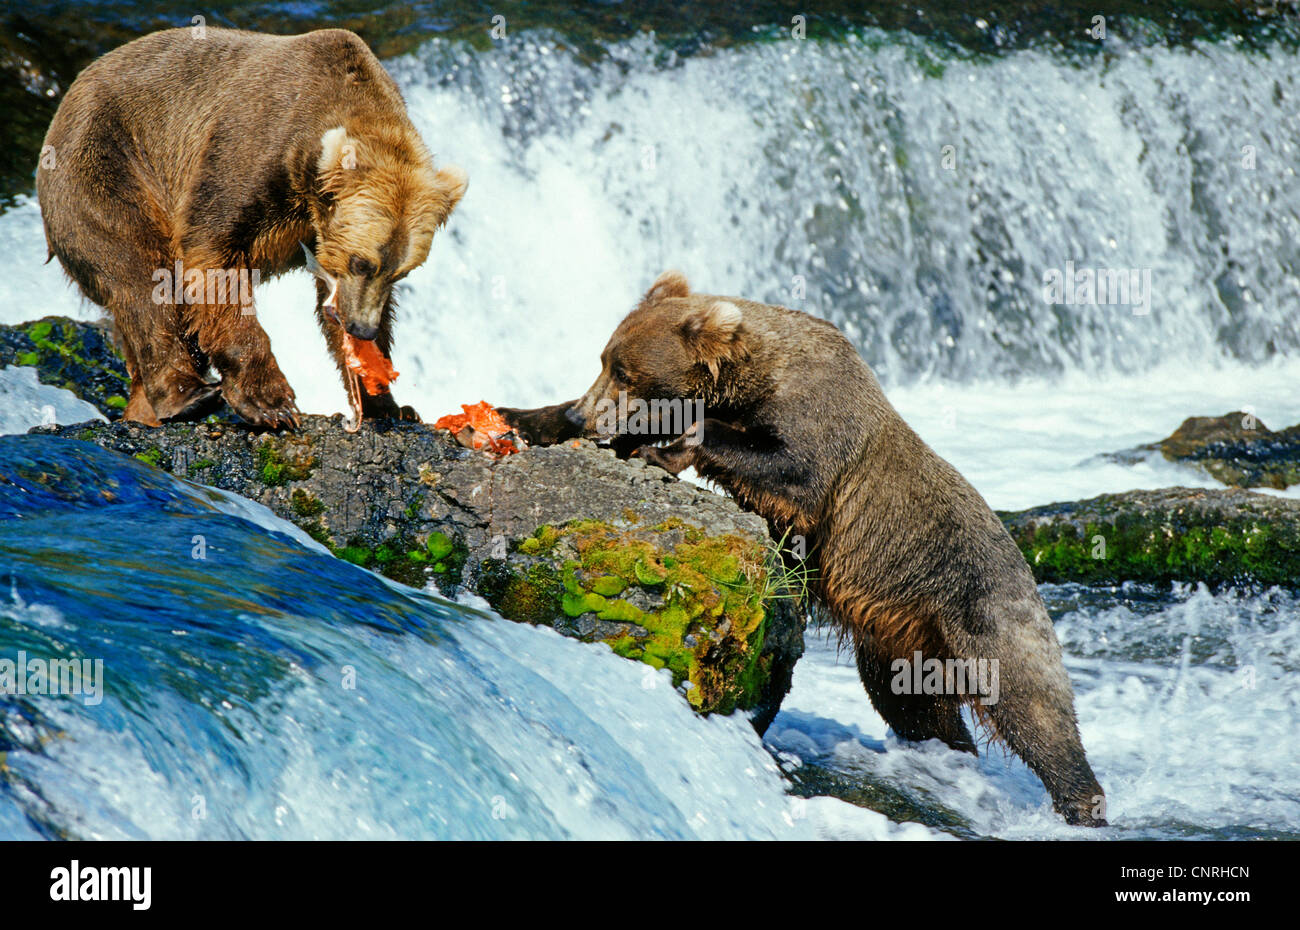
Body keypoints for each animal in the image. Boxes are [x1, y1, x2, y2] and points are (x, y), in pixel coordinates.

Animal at [36, 27, 467, 429]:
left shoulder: (318, 233)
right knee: (139, 275)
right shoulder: (248, 154)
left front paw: (389, 402)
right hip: (105, 168)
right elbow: (213, 261)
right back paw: (187, 394)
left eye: (401, 272)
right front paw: (271, 403)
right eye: (360, 262)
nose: (361, 327)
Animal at [501, 273, 1112, 827]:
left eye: (626, 370)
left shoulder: (816, 425)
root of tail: (1024, 566)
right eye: (605, 358)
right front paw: (526, 416)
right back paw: (947, 758)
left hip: (984, 607)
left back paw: (1081, 803)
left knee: (1033, 706)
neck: (753, 378)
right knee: (916, 707)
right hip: (901, 642)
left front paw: (670, 445)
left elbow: (788, 469)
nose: (586, 413)